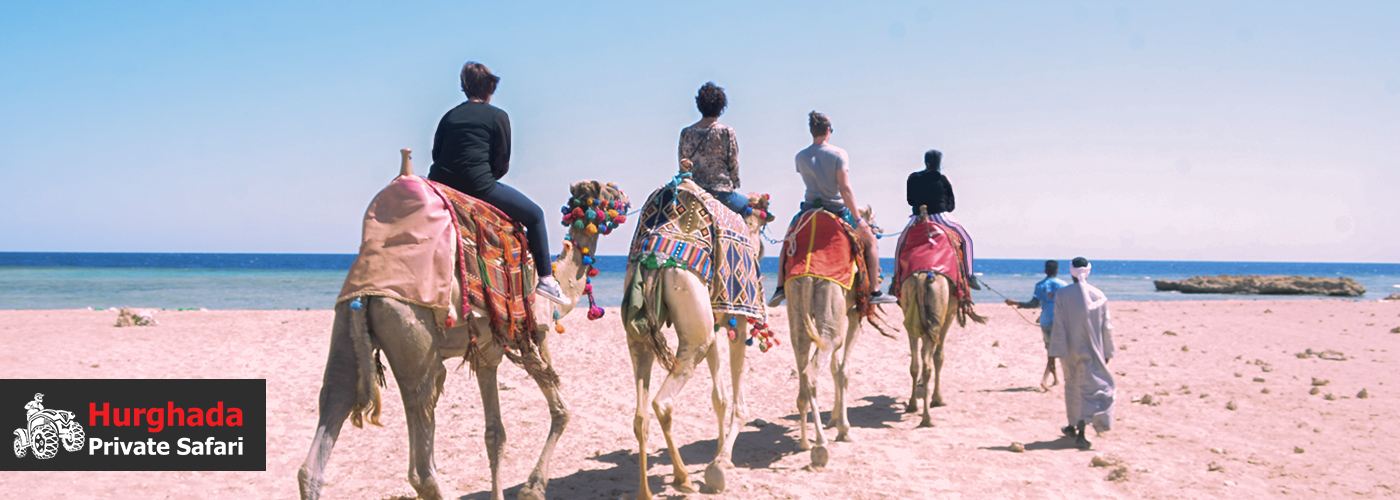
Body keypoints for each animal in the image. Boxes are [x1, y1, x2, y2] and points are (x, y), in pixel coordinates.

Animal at [297, 150, 630, 500]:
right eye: (609, 190)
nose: (625, 196)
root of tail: (368, 292)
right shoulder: (534, 336)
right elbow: (561, 411)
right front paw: (532, 488)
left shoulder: (488, 355)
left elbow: (495, 434)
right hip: (412, 336)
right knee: (422, 465)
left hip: (345, 323)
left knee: (329, 412)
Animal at [622, 175, 774, 500]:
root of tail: (653, 258)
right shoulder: (739, 320)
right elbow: (737, 402)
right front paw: (721, 464)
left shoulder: (715, 322)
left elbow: (719, 397)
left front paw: (719, 455)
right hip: (693, 321)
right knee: (663, 403)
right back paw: (682, 478)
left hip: (642, 328)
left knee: (640, 415)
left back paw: (646, 490)